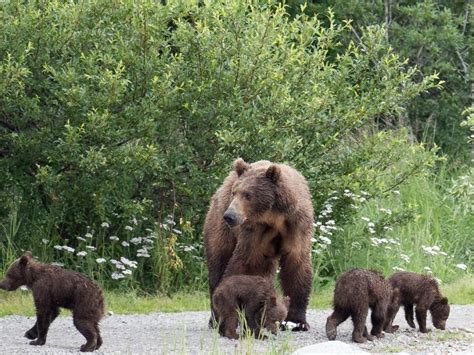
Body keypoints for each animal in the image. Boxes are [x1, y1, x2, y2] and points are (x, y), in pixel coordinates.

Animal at [202, 159, 312, 330]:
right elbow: (245, 264)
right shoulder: (254, 232)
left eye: (248, 194)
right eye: (234, 192)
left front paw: (297, 322)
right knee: (218, 264)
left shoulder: (297, 226)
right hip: (219, 228)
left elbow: (296, 266)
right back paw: (215, 319)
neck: (274, 217)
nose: (229, 216)